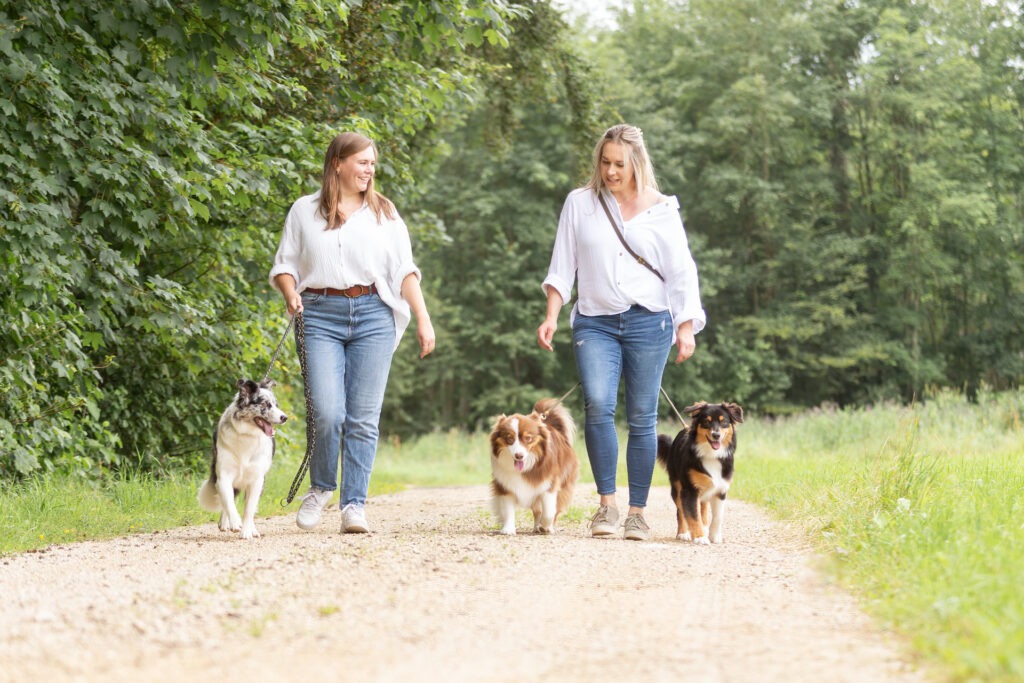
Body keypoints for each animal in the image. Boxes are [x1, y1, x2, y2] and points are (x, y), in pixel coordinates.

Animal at [655, 401, 745, 544]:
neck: (711, 455)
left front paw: (714, 536)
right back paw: (683, 533)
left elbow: (717, 517)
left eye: (724, 421)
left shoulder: (720, 489)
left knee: (703, 508)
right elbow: (693, 515)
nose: (716, 435)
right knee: (681, 511)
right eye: (706, 421)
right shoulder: (690, 490)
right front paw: (700, 537)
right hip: (677, 486)